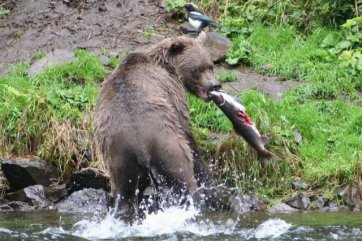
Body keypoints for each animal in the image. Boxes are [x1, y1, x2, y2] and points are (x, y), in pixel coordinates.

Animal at [94, 32, 221, 218]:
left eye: (210, 66)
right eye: (198, 69)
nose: (214, 85)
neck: (170, 67)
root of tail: (139, 143)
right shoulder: (172, 93)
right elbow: (187, 130)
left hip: (118, 156)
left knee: (124, 192)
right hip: (167, 145)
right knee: (183, 175)